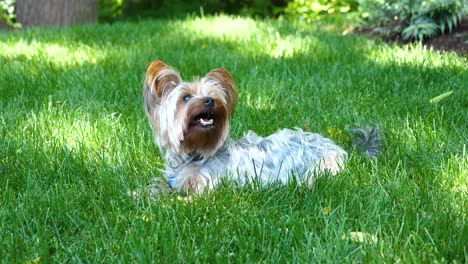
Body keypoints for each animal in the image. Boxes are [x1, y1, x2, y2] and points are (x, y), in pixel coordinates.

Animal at [143, 60, 352, 195]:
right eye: (186, 97)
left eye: (214, 95)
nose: (210, 101)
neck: (195, 153)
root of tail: (332, 144)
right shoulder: (176, 180)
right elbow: (158, 188)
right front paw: (141, 196)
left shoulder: (207, 186)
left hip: (322, 165)